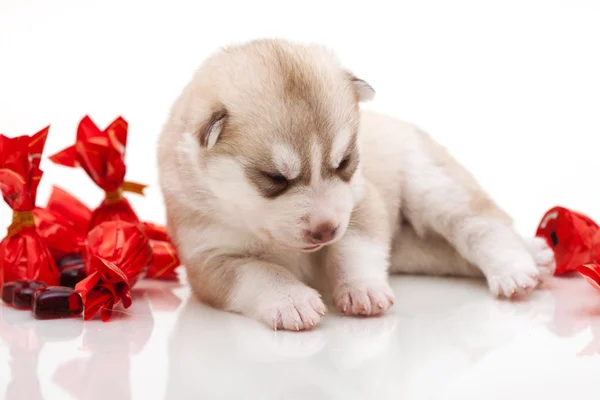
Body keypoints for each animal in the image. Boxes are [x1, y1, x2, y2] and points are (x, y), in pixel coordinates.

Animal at [157, 38, 556, 332]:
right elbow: (262, 272)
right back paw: (535, 255)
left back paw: (517, 267)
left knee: (481, 224)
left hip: (433, 185)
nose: (325, 229)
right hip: (413, 248)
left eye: (344, 163)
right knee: (445, 251)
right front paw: (292, 300)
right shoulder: (210, 259)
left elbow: (354, 249)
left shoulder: (362, 204)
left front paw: (362, 289)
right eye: (275, 178)